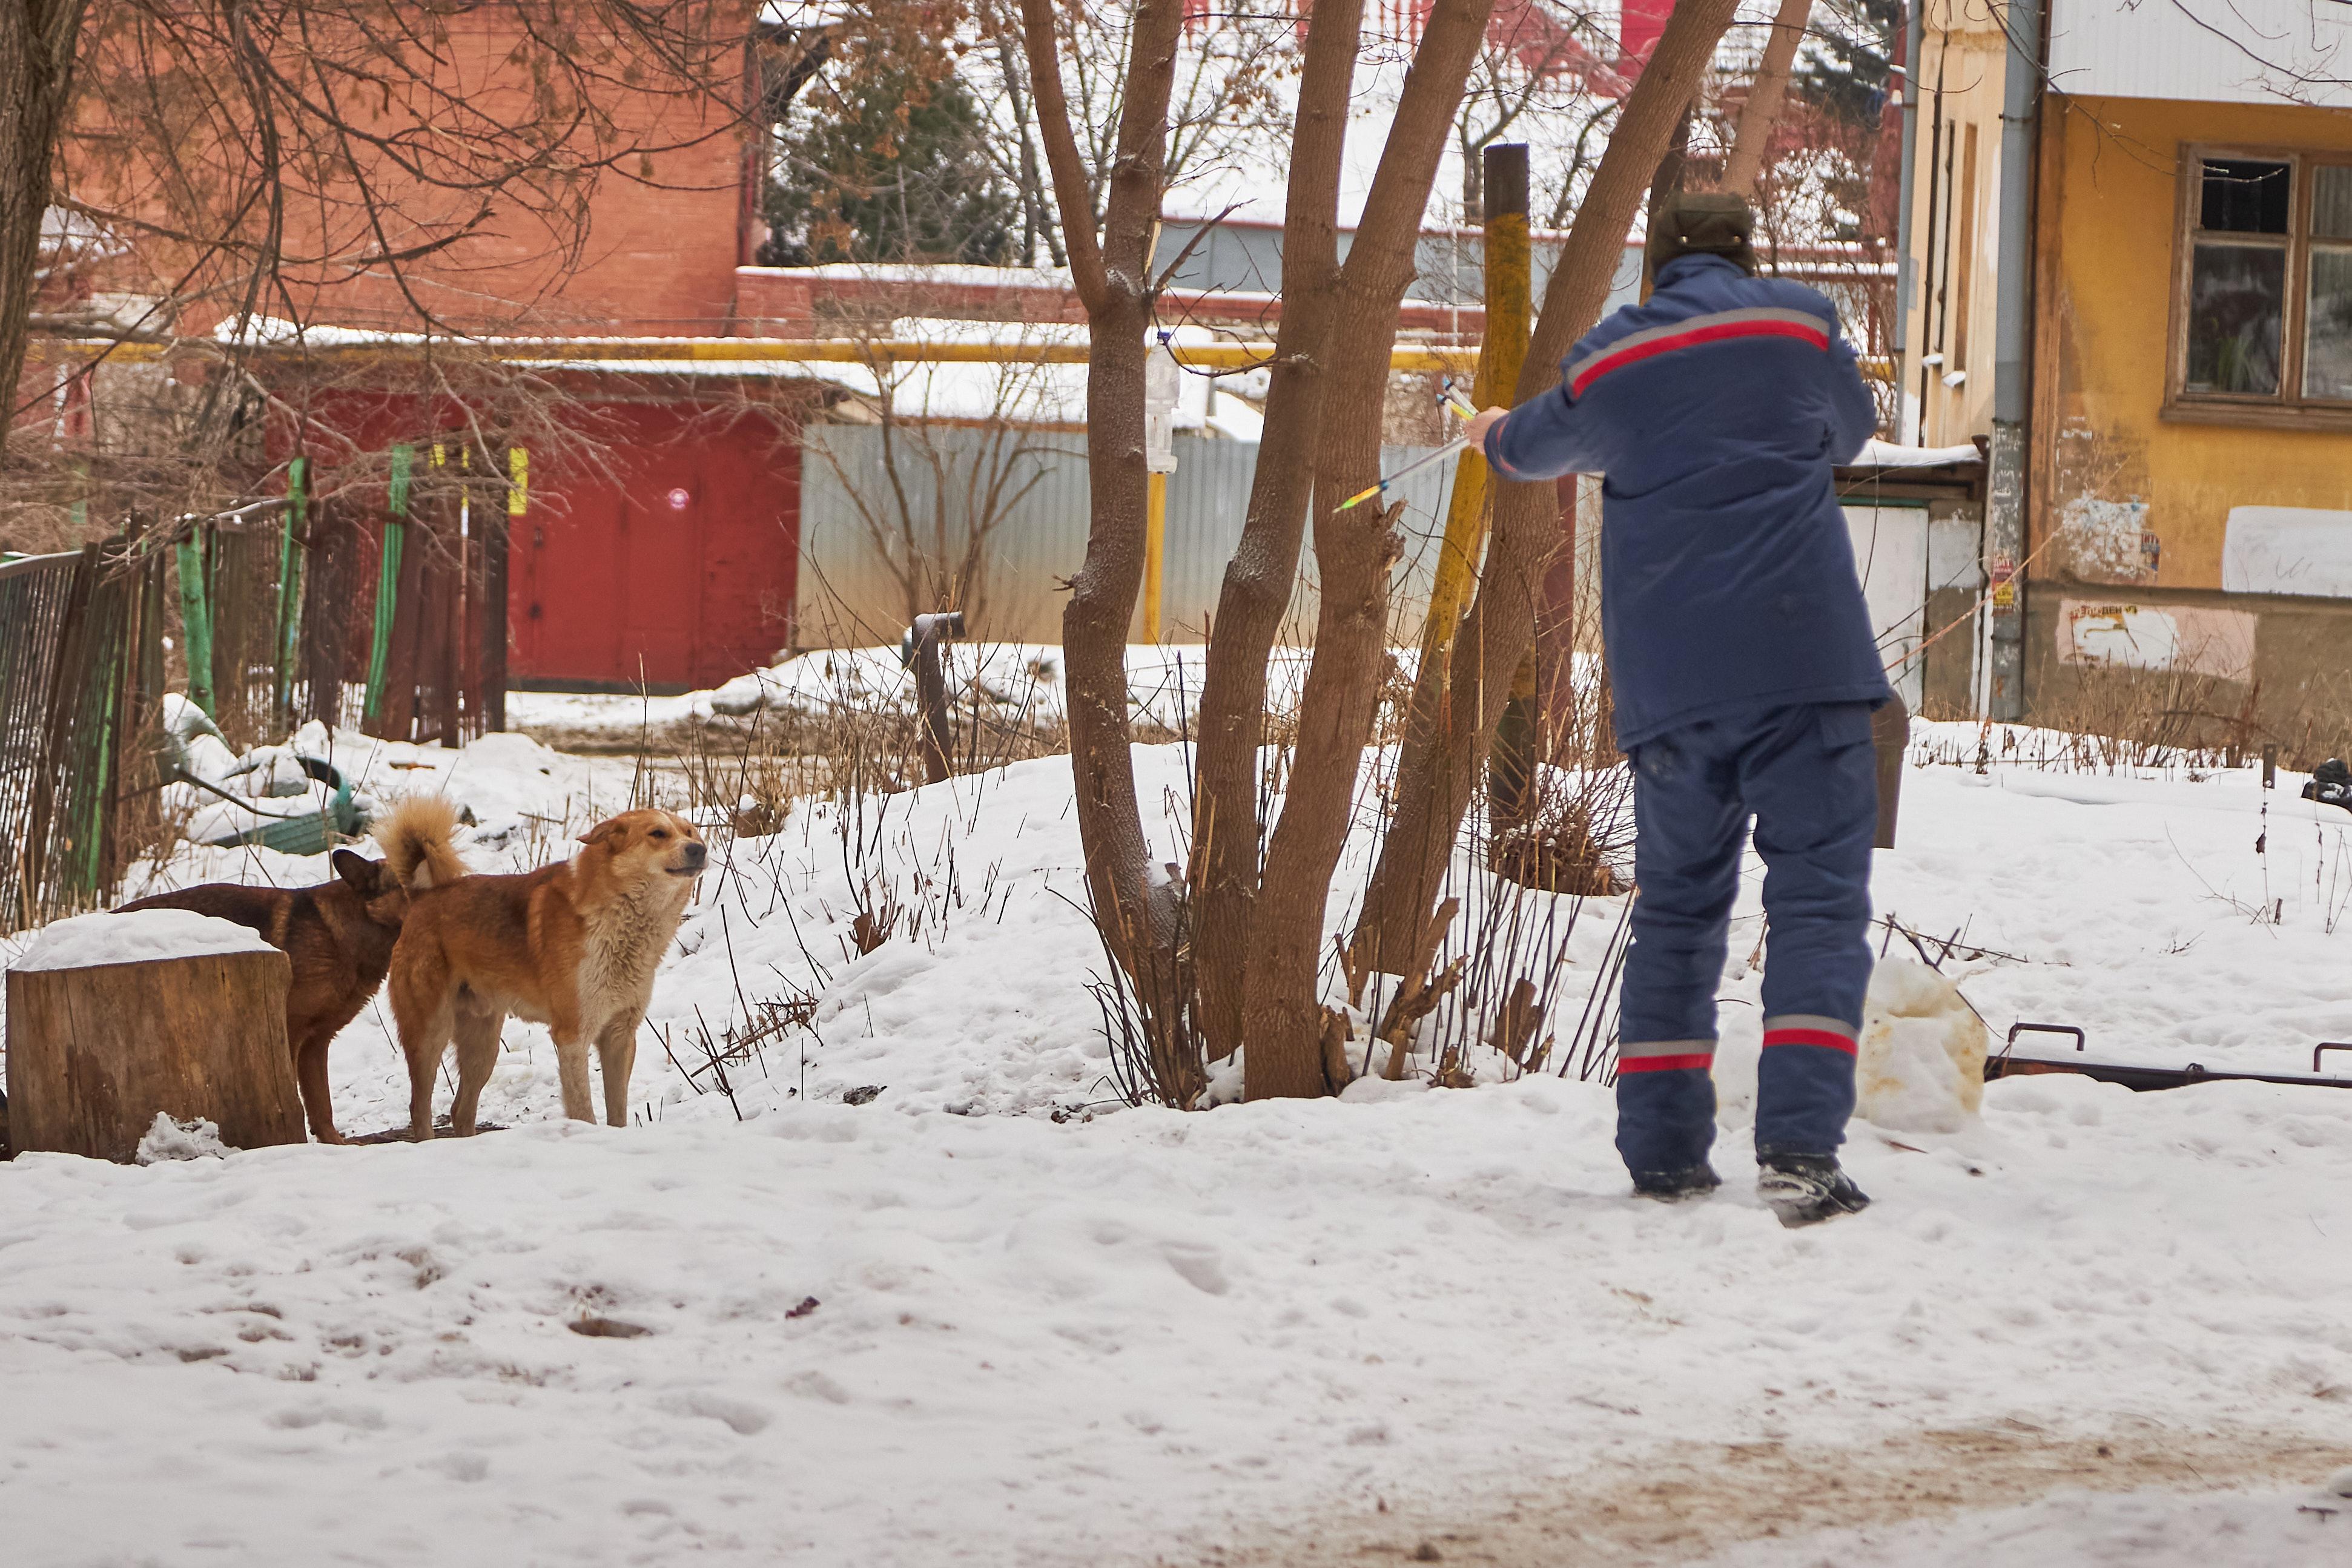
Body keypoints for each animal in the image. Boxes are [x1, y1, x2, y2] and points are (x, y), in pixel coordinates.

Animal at [121, 799, 467, 1142]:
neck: (342, 933)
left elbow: (321, 1104)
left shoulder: (317, 1042)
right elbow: (294, 1102)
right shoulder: (290, 1033)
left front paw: (333, 1145)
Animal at [390, 808, 701, 1142]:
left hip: (483, 1043)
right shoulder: (573, 1037)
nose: (700, 849)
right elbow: (584, 1112)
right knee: (419, 1107)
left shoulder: (620, 1035)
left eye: (690, 833)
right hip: (429, 1033)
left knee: (461, 1109)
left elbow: (617, 1112)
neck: (619, 913)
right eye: (658, 834)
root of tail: (422, 898)